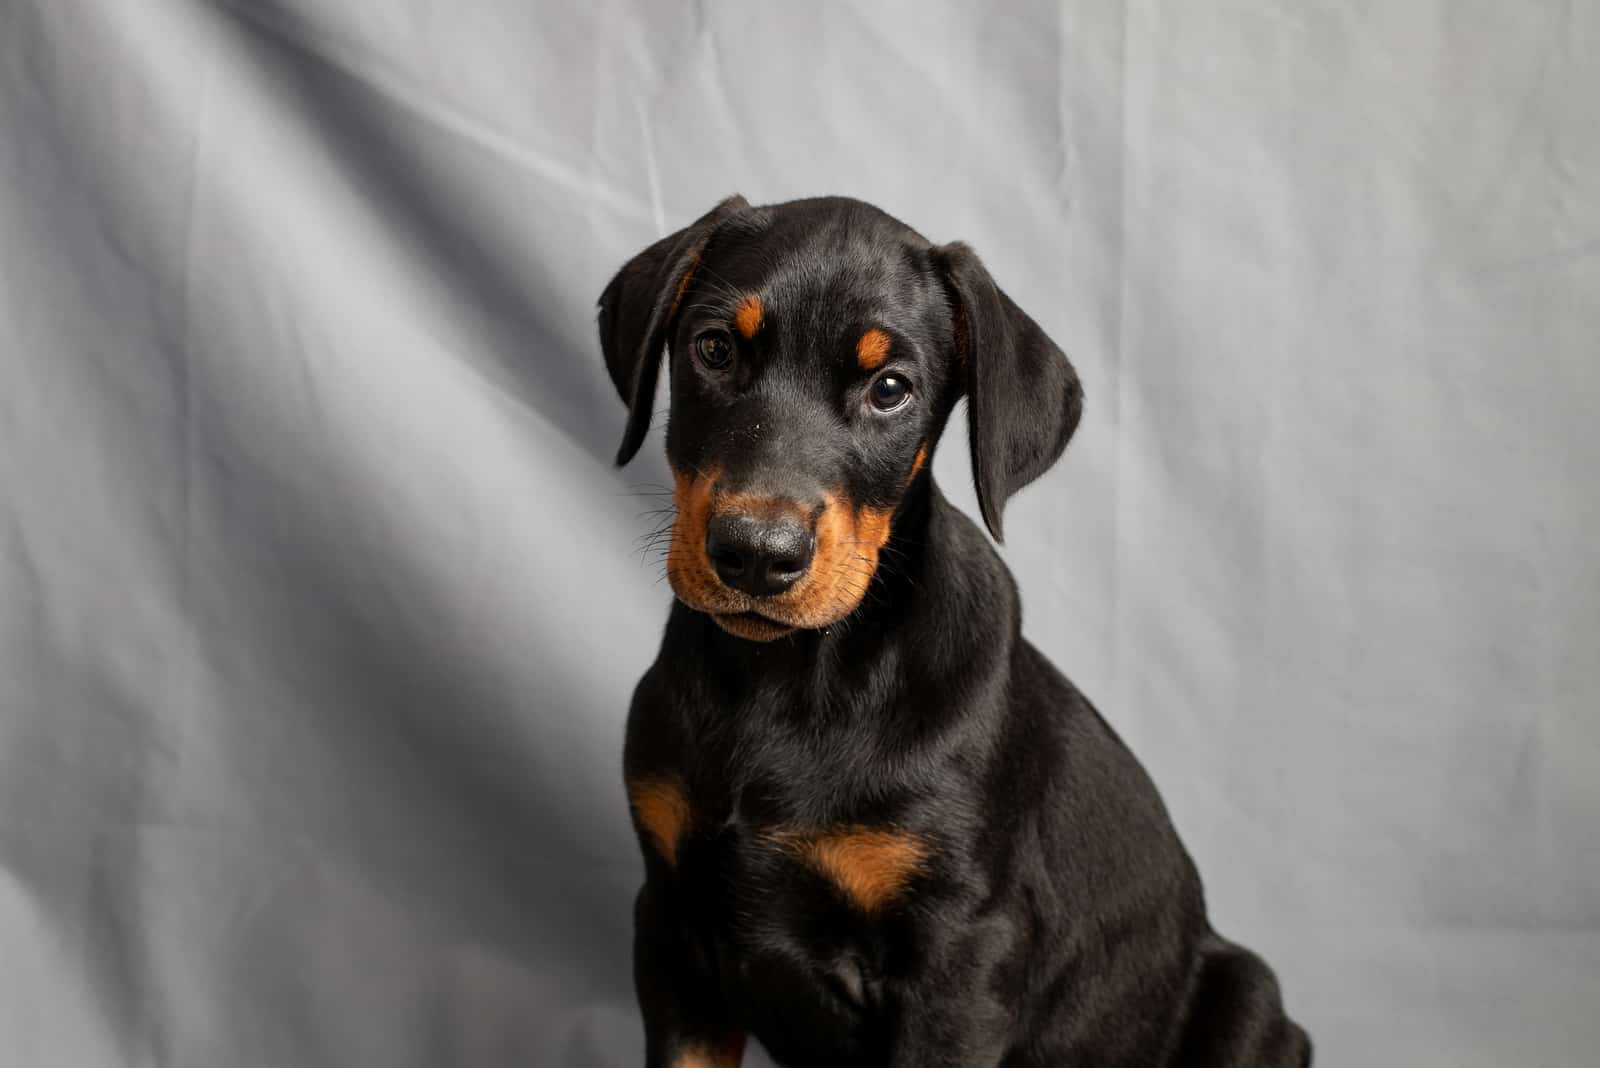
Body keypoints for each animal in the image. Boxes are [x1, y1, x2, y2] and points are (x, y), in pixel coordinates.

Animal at [595, 195, 1305, 1061]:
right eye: (715, 348)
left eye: (891, 389)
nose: (758, 555)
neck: (790, 678)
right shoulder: (673, 930)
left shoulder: (962, 963)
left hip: (1249, 1001)